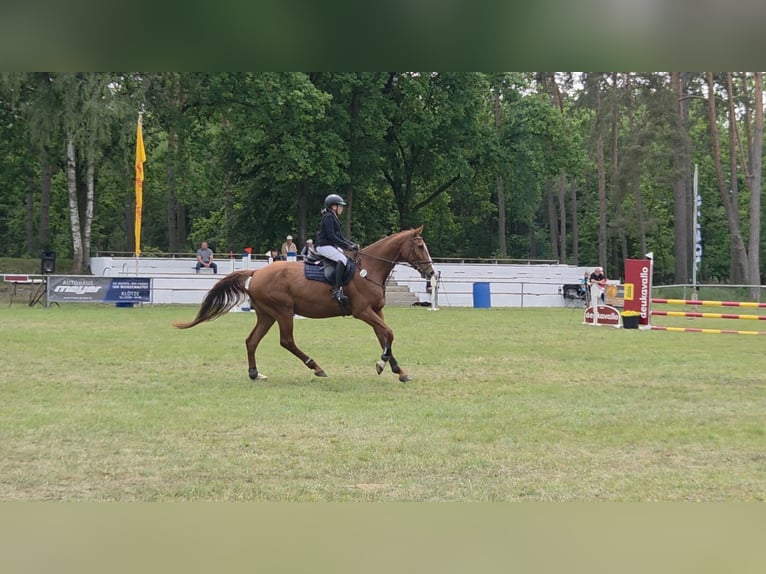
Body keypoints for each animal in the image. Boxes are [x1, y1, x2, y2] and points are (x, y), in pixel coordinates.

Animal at [173, 226, 436, 382]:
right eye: (420, 246)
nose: (431, 272)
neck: (368, 269)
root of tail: (256, 273)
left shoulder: (376, 311)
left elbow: (385, 337)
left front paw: (398, 370)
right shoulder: (362, 312)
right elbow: (388, 334)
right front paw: (382, 365)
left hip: (267, 315)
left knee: (251, 341)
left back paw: (255, 374)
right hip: (283, 312)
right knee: (286, 341)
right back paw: (316, 367)